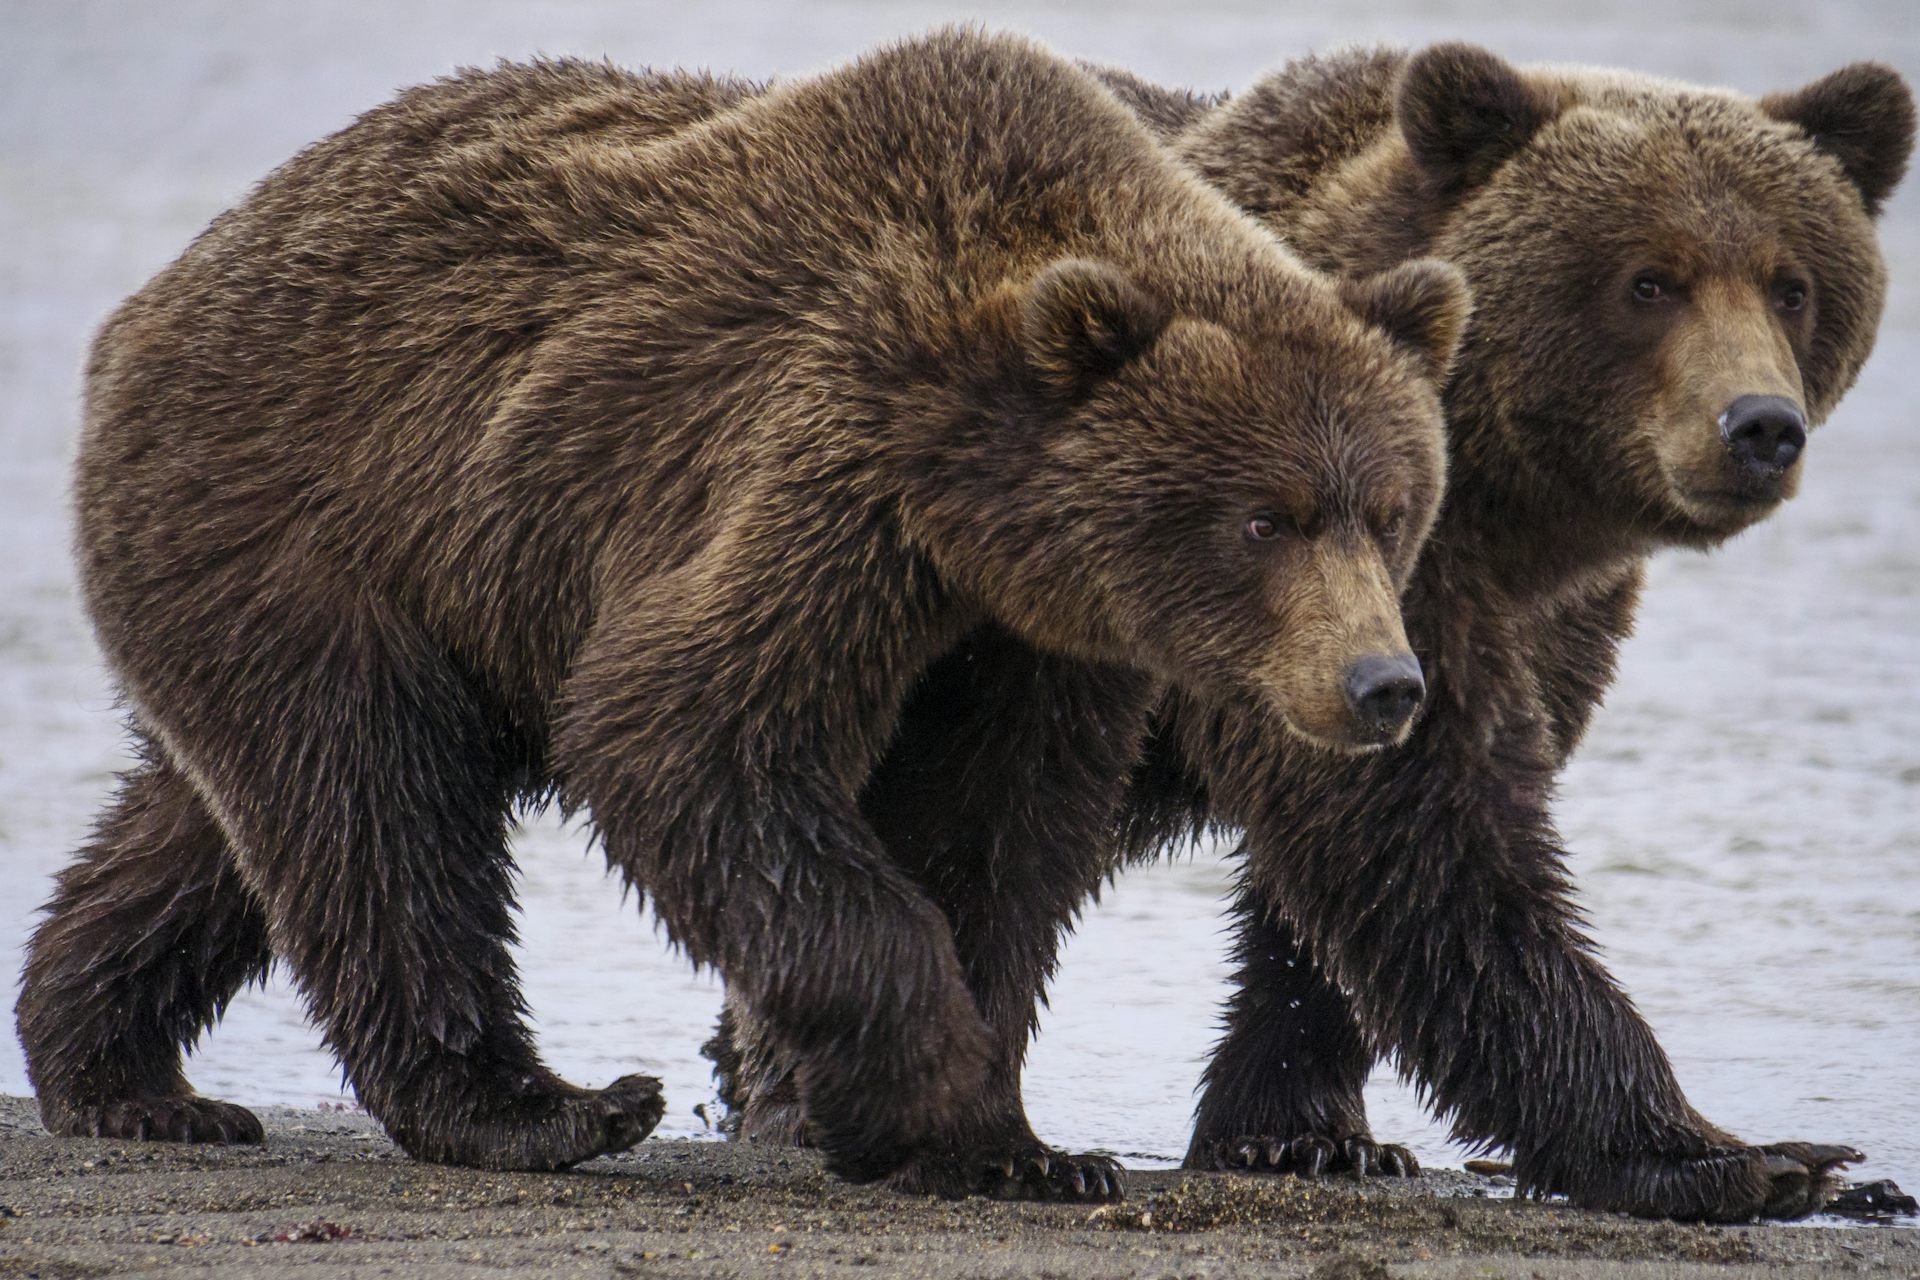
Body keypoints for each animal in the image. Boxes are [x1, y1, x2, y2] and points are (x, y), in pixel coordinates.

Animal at [14, 29, 1473, 1201]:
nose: (1381, 682)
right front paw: (933, 1092)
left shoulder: (1036, 636)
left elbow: (1000, 833)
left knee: (220, 823)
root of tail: (163, 290)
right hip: (315, 513)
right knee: (377, 805)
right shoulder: (817, 462)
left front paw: (1015, 1144)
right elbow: (686, 730)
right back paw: (549, 1106)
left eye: (1392, 506)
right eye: (1264, 518)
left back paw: (121, 1071)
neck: (976, 496)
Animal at [711, 45, 1914, 1220]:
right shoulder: (1331, 583)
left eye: (1794, 284)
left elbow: (1354, 876)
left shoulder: (1521, 611)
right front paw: (1742, 1153)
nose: (1759, 426)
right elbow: (1432, 844)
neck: (1504, 503)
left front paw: (1307, 1133)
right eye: (1649, 280)